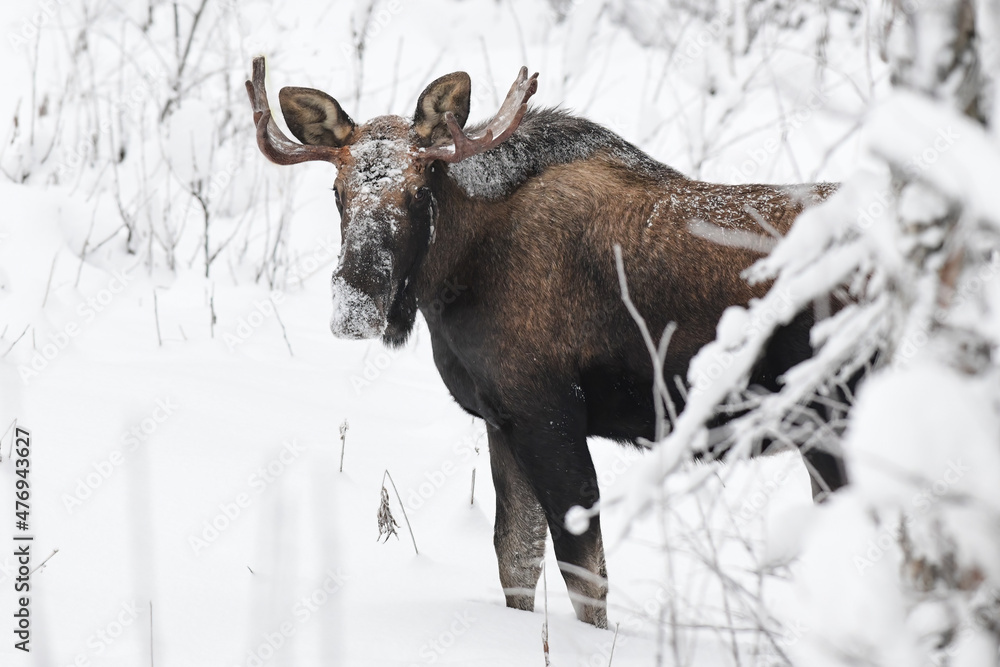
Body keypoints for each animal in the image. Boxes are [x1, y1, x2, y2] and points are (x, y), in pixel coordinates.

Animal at [244, 58, 844, 632]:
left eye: (419, 190)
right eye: (338, 192)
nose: (356, 305)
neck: (456, 275)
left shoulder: (548, 415)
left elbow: (585, 580)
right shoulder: (502, 420)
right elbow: (516, 558)